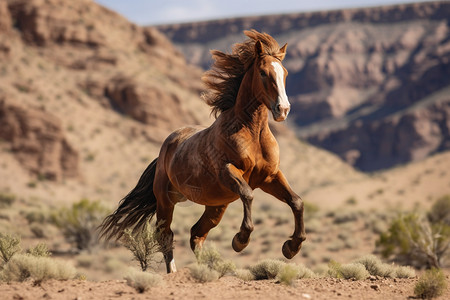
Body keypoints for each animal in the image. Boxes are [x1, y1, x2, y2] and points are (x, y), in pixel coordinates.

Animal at [99, 29, 306, 274]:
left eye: (284, 73)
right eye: (264, 73)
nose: (283, 109)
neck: (252, 134)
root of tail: (166, 147)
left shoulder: (270, 177)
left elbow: (296, 202)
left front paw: (291, 247)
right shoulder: (229, 172)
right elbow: (248, 194)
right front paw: (240, 240)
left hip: (216, 206)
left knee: (196, 234)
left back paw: (207, 269)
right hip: (165, 201)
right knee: (166, 235)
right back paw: (174, 272)